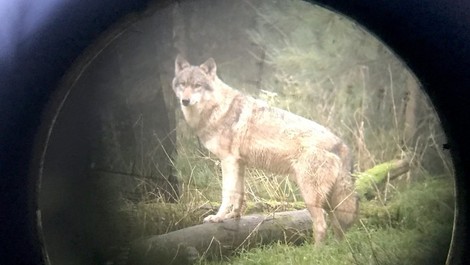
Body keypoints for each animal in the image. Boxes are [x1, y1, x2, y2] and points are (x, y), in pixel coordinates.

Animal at [173, 55, 360, 243]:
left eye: (197, 85)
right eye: (183, 84)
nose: (185, 101)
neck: (218, 108)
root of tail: (342, 145)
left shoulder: (228, 161)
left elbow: (227, 194)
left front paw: (217, 218)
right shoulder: (239, 163)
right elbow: (239, 194)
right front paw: (234, 216)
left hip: (310, 196)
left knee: (322, 227)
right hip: (329, 202)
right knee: (339, 229)